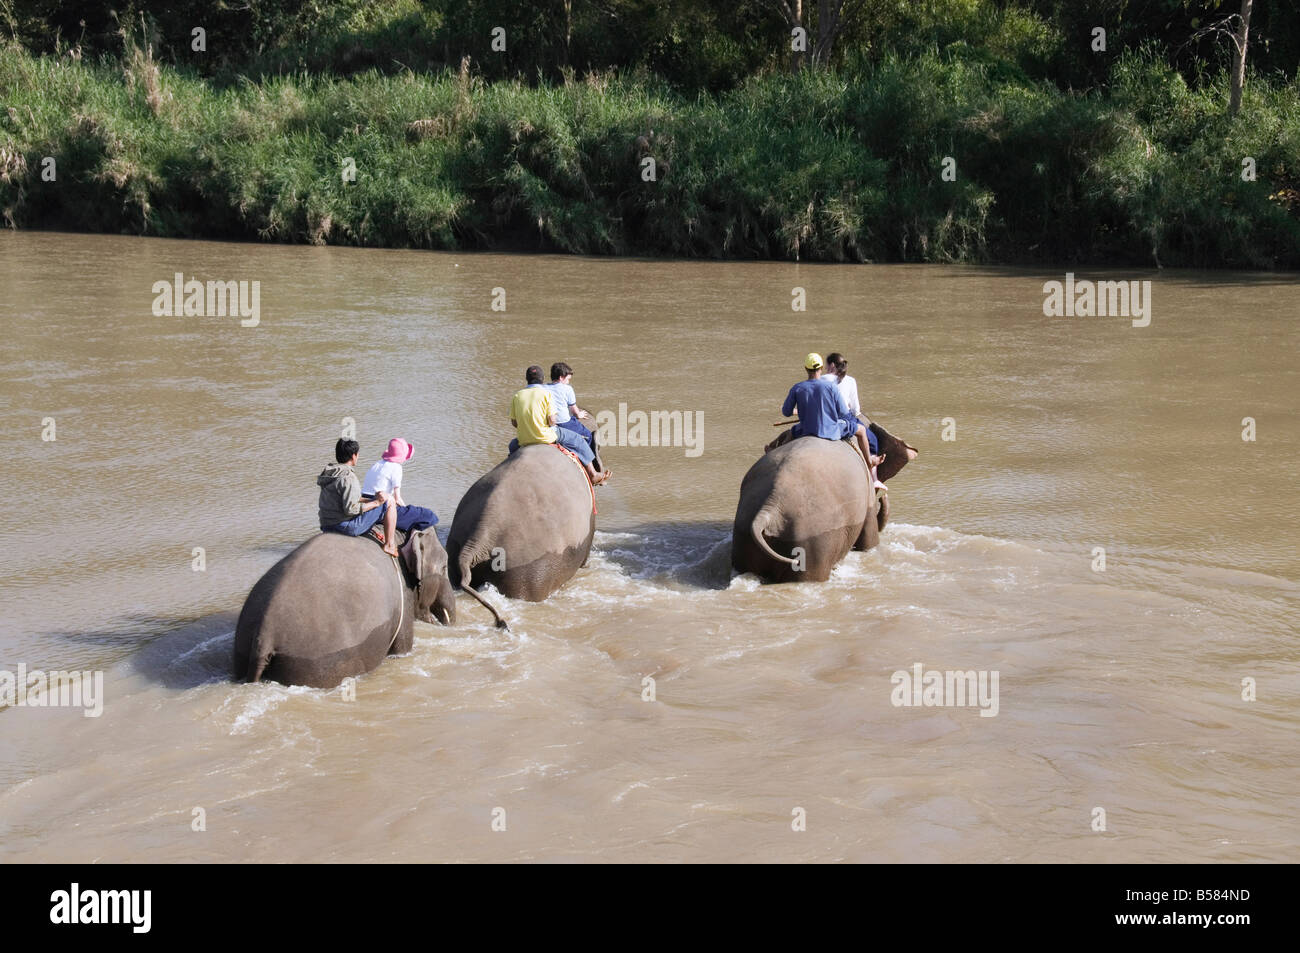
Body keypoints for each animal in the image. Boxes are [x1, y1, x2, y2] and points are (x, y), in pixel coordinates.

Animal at [233, 525, 457, 686]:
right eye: (445, 567)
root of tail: (265, 636)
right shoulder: (402, 594)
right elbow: (402, 645)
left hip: (244, 646)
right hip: (324, 659)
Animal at [733, 421, 915, 582]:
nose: (884, 495)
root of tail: (768, 511)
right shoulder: (867, 498)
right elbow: (869, 540)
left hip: (744, 535)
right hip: (810, 542)